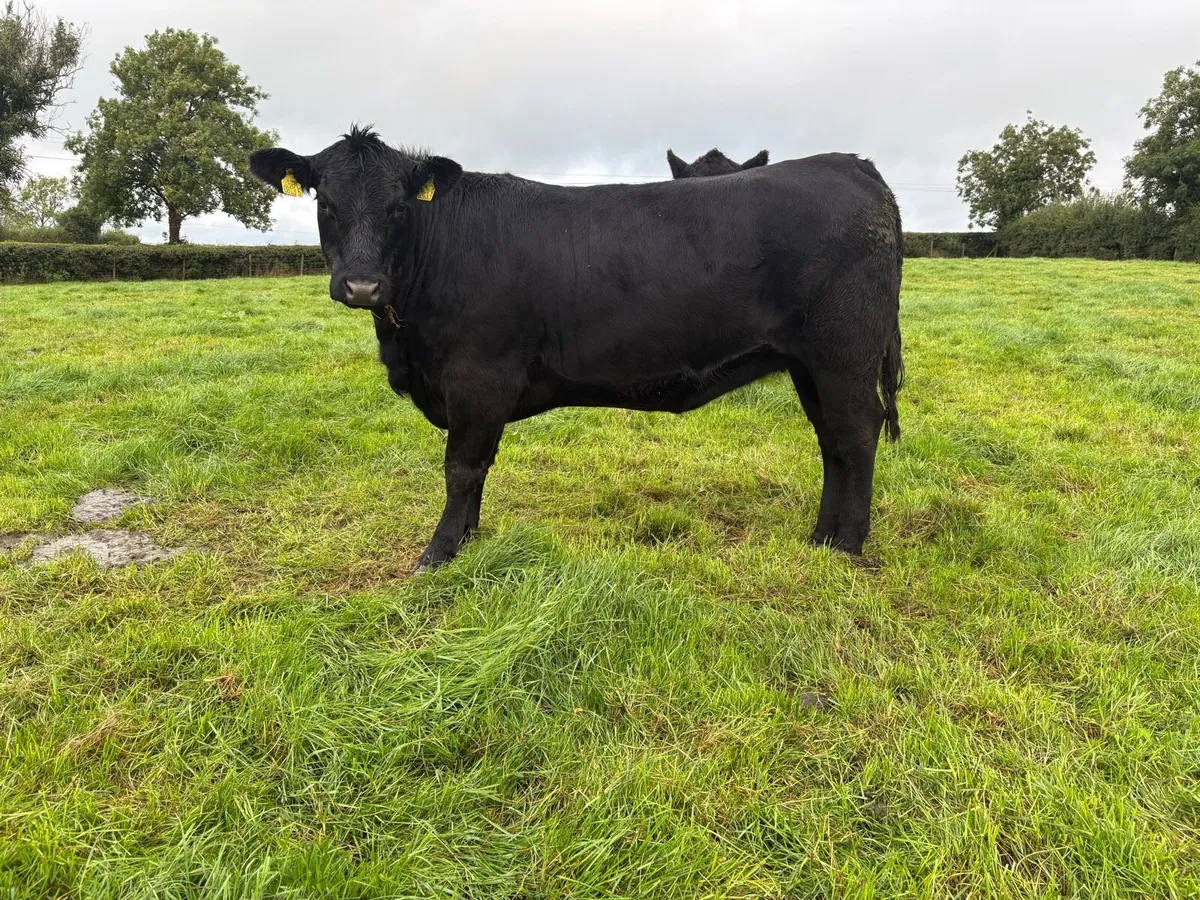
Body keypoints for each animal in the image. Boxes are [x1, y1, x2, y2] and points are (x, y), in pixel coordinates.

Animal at [249, 127, 903, 573]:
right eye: (324, 203)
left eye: (399, 206)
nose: (362, 286)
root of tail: (852, 164)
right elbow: (476, 469)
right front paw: (468, 541)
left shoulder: (477, 377)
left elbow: (461, 468)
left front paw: (437, 553)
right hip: (808, 363)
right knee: (831, 440)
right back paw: (821, 537)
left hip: (843, 351)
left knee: (855, 432)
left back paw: (847, 544)